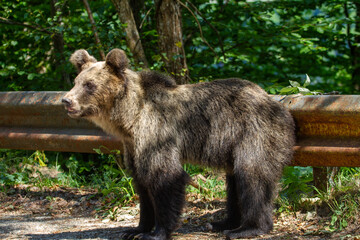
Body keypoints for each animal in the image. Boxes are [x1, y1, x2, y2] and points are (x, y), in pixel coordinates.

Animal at [62, 48, 294, 240]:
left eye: (89, 85)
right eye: (76, 81)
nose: (66, 100)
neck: (130, 117)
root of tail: (277, 103)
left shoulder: (157, 133)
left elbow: (164, 177)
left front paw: (157, 232)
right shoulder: (133, 145)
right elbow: (141, 183)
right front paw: (135, 229)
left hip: (253, 133)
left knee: (251, 174)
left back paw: (247, 228)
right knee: (234, 179)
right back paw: (222, 223)